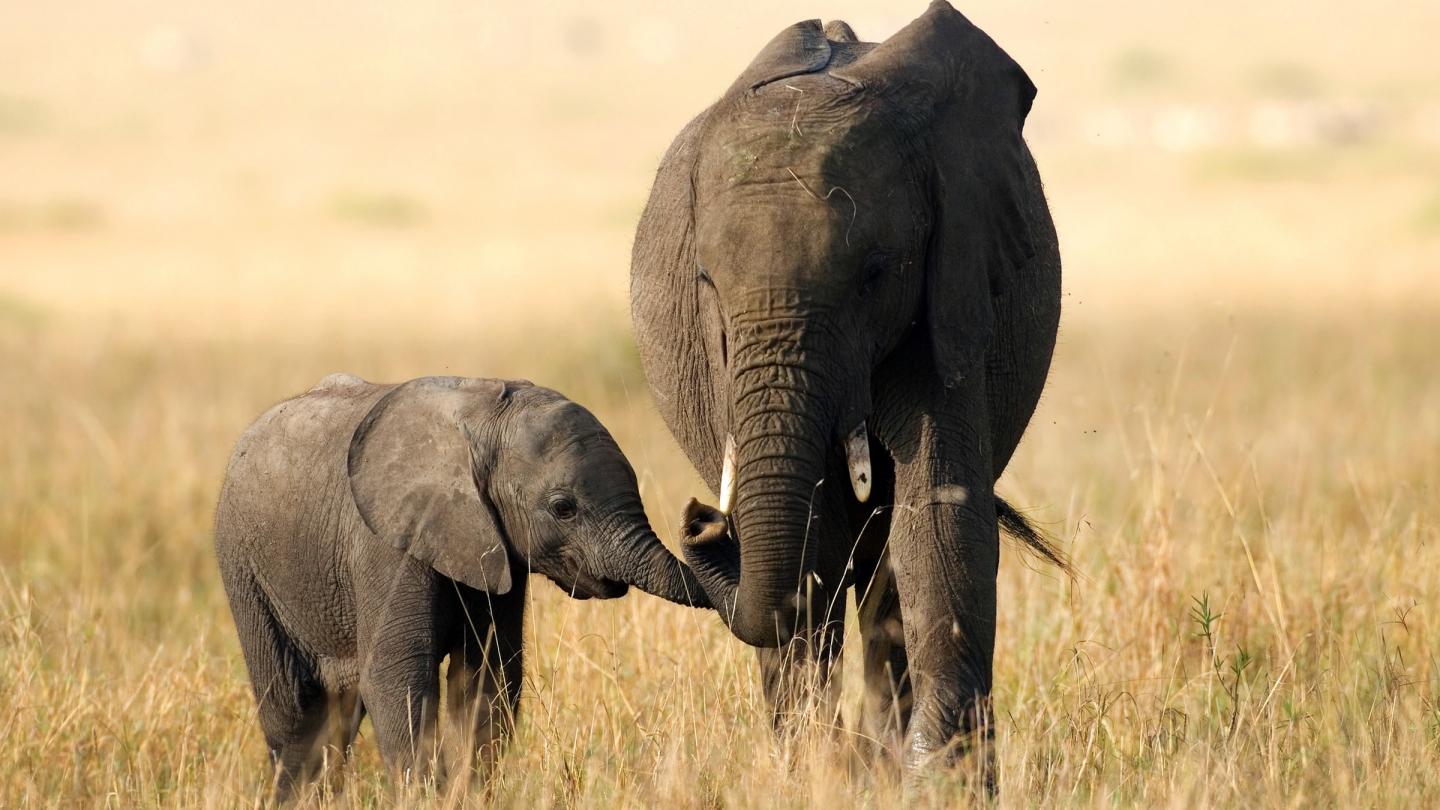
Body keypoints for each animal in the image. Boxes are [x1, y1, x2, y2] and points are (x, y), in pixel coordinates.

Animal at [214, 374, 709, 799]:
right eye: (563, 508)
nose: (704, 518)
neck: (483, 420)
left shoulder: (497, 552)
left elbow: (488, 679)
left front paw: (470, 795)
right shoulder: (386, 544)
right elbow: (396, 677)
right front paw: (425, 799)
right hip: (245, 569)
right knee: (294, 713)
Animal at [630, 1, 1067, 776]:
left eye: (873, 274)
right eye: (706, 283)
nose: (700, 521)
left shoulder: (952, 281)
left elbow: (936, 512)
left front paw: (936, 776)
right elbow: (813, 542)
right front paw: (818, 773)